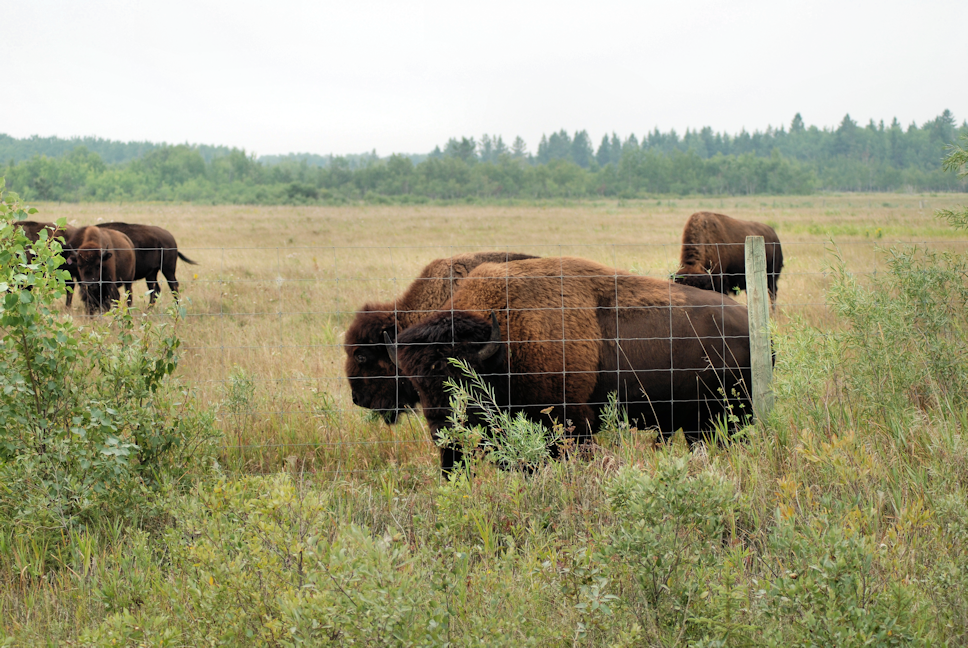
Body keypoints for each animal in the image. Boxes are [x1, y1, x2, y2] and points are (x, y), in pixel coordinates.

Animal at [389, 257, 753, 472]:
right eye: (418, 387)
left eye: (463, 382)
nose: (444, 436)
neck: (505, 341)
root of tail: (749, 323)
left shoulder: (571, 423)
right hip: (698, 421)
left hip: (732, 413)